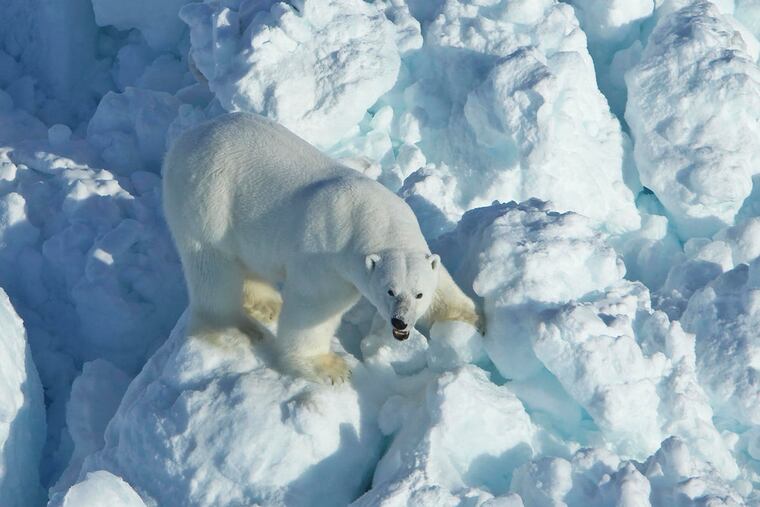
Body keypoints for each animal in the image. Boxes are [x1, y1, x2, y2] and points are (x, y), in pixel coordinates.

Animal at [162, 112, 484, 384]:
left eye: (418, 293)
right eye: (389, 291)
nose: (400, 322)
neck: (372, 217)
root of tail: (183, 141)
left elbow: (442, 284)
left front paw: (474, 321)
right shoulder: (328, 258)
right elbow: (313, 309)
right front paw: (329, 368)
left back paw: (267, 305)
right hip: (208, 202)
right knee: (212, 269)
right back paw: (237, 328)